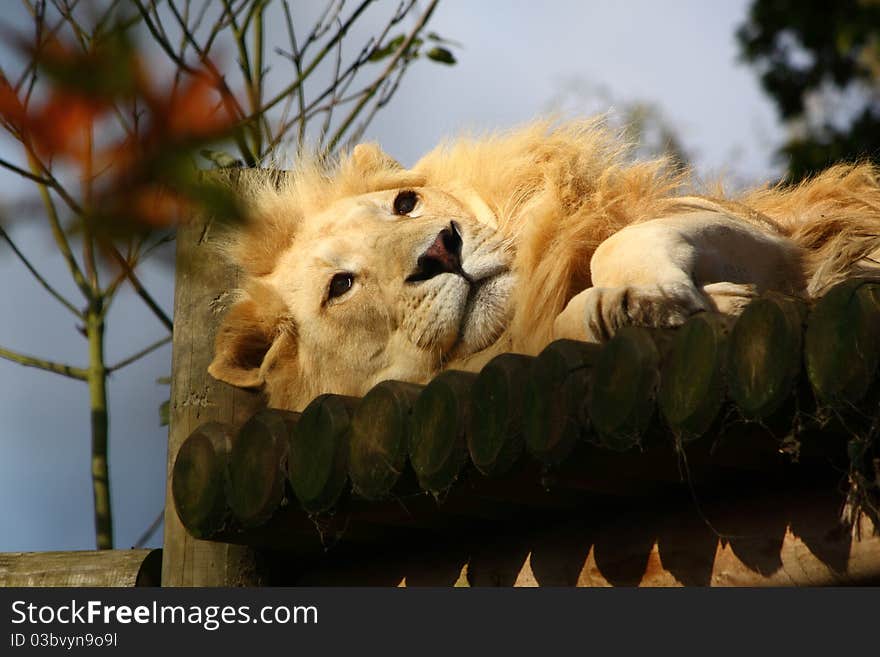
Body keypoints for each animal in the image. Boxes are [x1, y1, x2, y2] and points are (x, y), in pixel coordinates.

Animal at [208, 118, 880, 410]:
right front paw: (624, 310)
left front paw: (652, 298)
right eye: (341, 285)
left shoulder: (766, 233)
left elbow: (617, 244)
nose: (441, 250)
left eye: (405, 204)